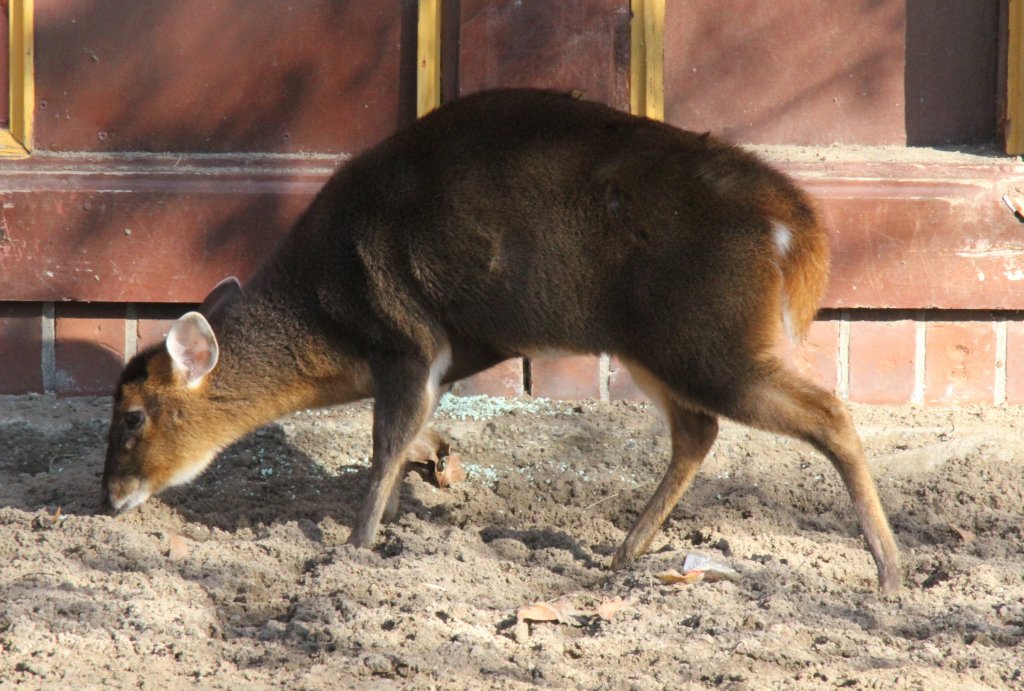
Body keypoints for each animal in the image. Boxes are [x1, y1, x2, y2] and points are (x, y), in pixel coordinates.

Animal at [103, 88, 901, 593]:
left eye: (133, 415)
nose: (109, 497)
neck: (327, 319)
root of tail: (799, 229)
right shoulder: (437, 357)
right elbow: (408, 437)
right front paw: (430, 474)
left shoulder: (408, 339)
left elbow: (383, 447)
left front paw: (354, 548)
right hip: (659, 344)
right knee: (698, 432)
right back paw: (622, 555)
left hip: (710, 336)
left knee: (827, 411)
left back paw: (890, 572)